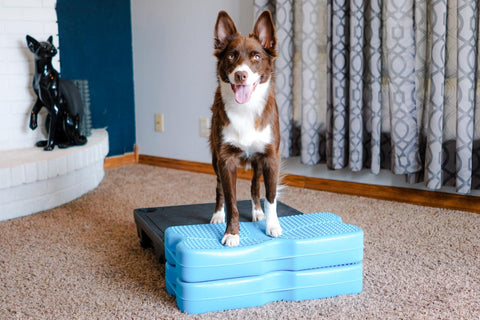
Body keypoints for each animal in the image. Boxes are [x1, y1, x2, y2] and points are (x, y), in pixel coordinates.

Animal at [209, 8, 282, 246]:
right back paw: (217, 214)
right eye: (231, 56)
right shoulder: (225, 159)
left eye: (256, 57)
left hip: (258, 161)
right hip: (215, 158)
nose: (241, 75)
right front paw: (231, 233)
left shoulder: (270, 157)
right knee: (219, 188)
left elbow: (270, 196)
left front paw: (272, 225)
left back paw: (258, 211)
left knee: (255, 186)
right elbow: (230, 199)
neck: (245, 109)